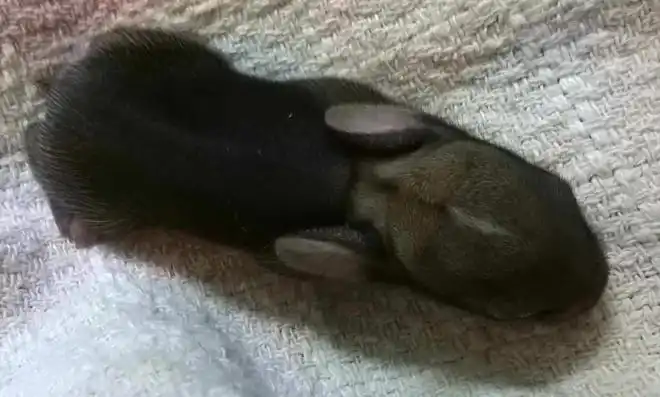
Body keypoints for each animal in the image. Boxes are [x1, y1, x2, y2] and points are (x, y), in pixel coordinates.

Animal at [23, 26, 612, 320]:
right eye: (527, 316)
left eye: (562, 190)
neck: (371, 187)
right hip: (90, 199)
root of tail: (59, 107)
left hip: (143, 50)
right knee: (44, 165)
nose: (602, 283)